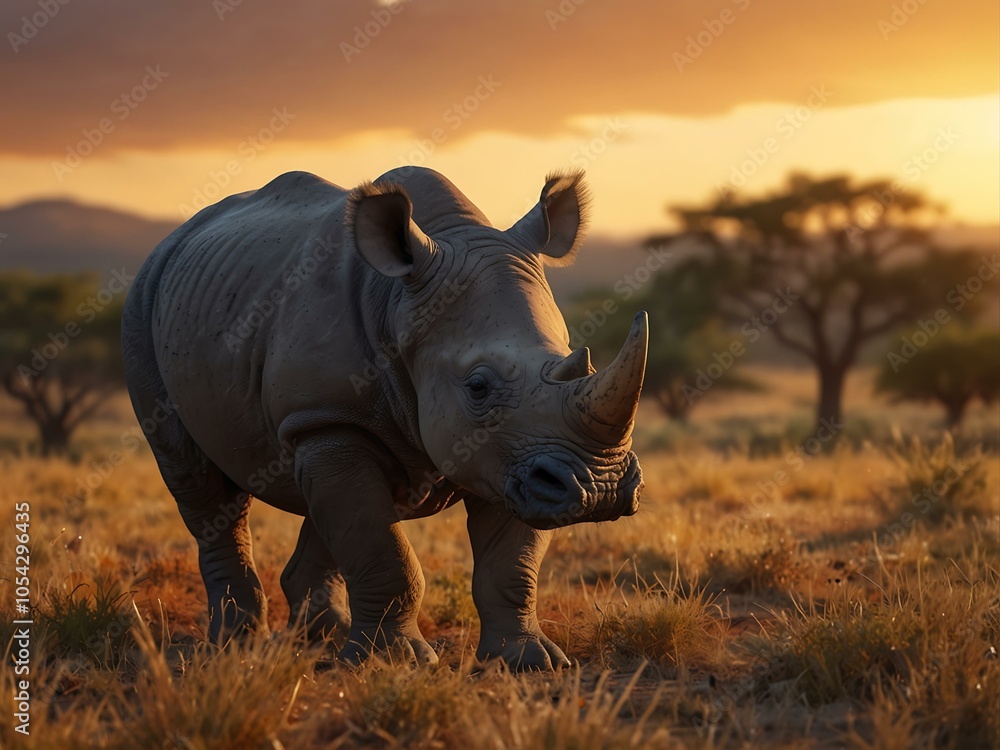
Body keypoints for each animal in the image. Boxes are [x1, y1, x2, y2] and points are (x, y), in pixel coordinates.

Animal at [122, 167, 647, 670]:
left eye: (576, 362)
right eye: (478, 386)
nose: (600, 487)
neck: (400, 303)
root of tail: (176, 238)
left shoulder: (513, 454)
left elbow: (509, 563)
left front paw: (529, 661)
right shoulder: (335, 418)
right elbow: (384, 551)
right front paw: (393, 662)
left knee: (323, 501)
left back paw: (323, 640)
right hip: (143, 303)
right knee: (201, 485)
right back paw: (236, 645)